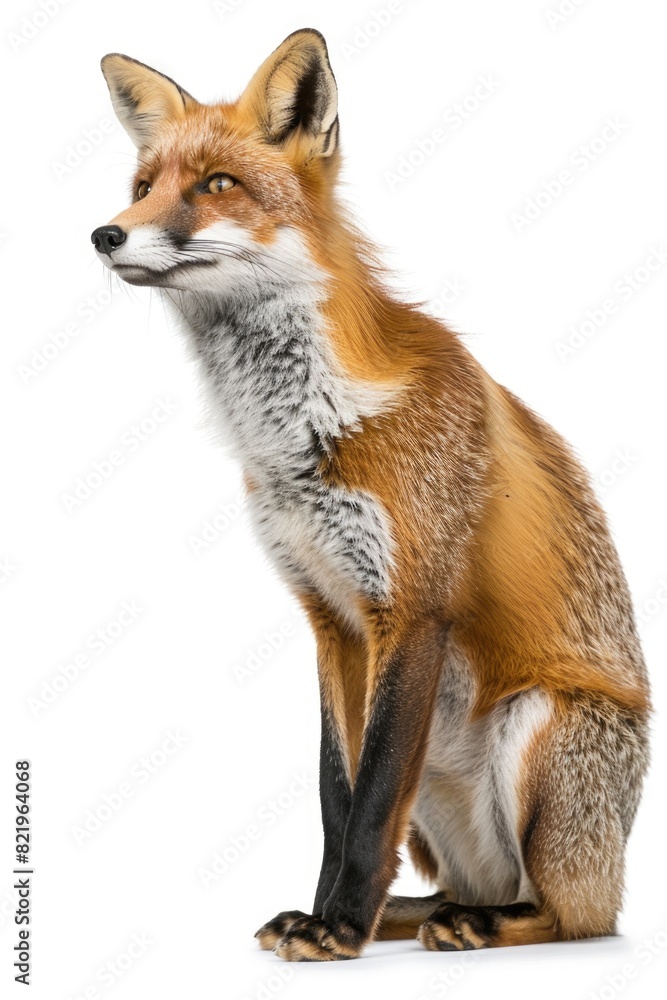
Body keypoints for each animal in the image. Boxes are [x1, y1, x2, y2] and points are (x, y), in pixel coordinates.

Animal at [92, 29, 650, 960]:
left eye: (216, 185)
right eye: (142, 188)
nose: (104, 234)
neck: (306, 429)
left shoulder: (411, 605)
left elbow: (373, 792)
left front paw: (340, 926)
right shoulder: (330, 616)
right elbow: (338, 795)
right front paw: (324, 914)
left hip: (536, 729)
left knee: (574, 916)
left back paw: (477, 924)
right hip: (443, 806)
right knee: (452, 880)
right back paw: (411, 916)